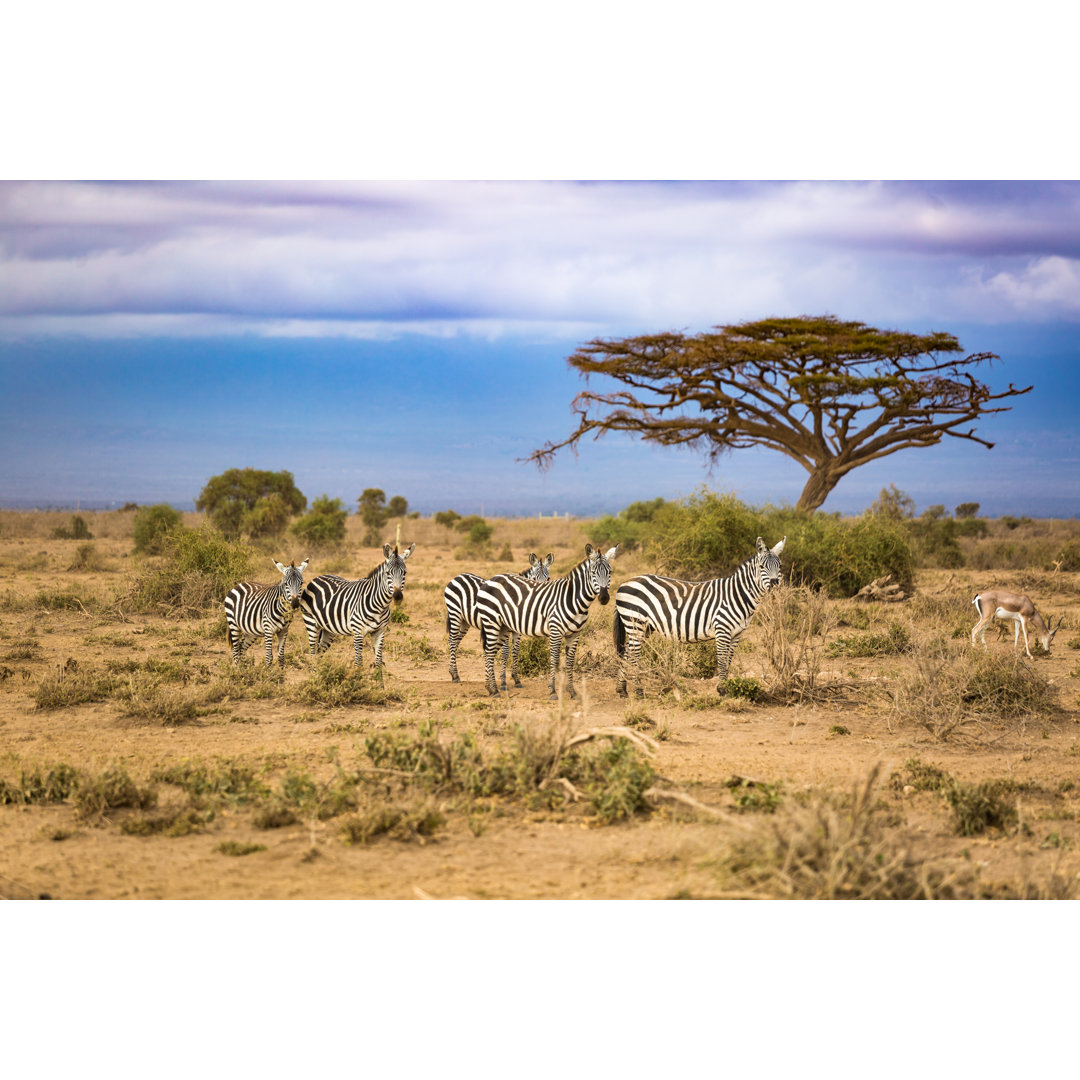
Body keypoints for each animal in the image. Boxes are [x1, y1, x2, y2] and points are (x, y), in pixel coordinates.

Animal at [442, 552, 552, 686]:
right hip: (455, 614)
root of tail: (457, 576)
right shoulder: (505, 626)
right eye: (535, 579)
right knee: (452, 641)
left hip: (464, 621)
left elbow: (516, 652)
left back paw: (452, 672)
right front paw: (503, 680)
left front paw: (516, 679)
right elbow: (505, 653)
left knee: (456, 641)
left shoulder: (517, 631)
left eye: (548, 579)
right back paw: (455, 675)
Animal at [479, 540, 622, 699]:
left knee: (490, 652)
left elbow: (570, 662)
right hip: (492, 622)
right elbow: (554, 659)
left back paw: (489, 687)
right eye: (593, 573)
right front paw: (552, 690)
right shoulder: (555, 631)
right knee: (489, 652)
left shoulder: (575, 634)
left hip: (502, 627)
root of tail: (493, 578)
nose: (604, 598)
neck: (574, 599)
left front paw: (572, 691)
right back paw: (495, 690)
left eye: (610, 572)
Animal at [617, 533, 786, 699]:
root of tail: (625, 582)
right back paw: (639, 692)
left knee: (626, 653)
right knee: (634, 656)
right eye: (762, 567)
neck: (737, 595)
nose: (775, 585)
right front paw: (722, 690)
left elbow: (729, 661)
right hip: (635, 623)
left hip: (644, 627)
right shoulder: (722, 630)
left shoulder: (736, 634)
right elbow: (722, 661)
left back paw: (622, 690)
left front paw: (728, 689)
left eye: (780, 566)